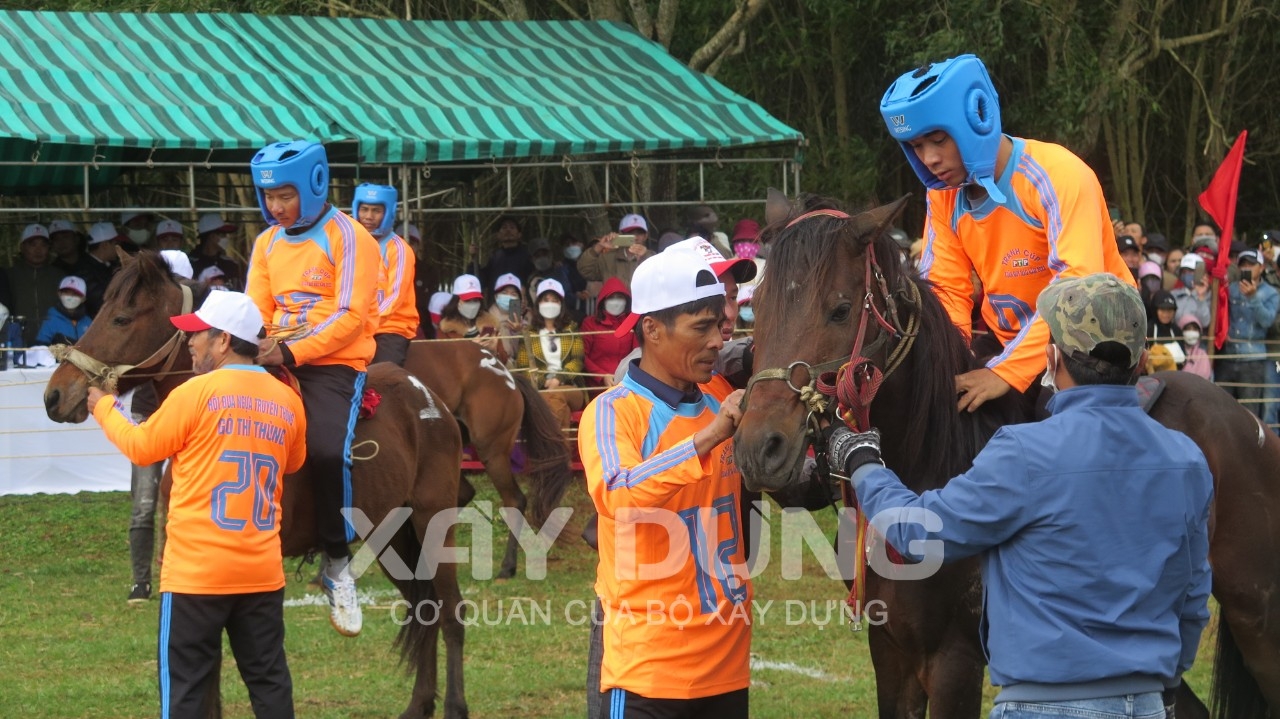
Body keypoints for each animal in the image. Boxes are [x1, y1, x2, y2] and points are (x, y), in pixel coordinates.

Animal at [43, 250, 476, 716]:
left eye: (121, 318)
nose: (55, 396)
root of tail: (429, 400)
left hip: (432, 525)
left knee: (449, 612)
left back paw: (454, 705)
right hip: (392, 536)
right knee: (423, 608)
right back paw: (419, 705)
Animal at [732, 198, 1280, 716]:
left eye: (841, 310)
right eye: (756, 306)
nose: (760, 447)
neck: (932, 464)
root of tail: (1249, 424)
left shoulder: (954, 658)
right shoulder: (891, 651)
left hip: (1256, 617)